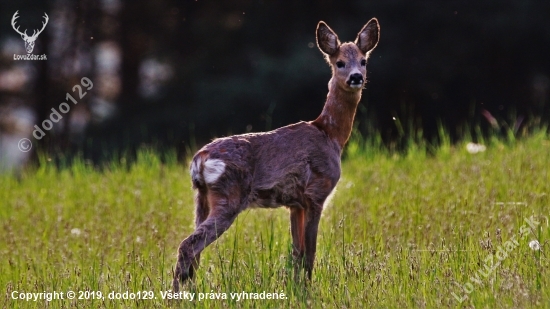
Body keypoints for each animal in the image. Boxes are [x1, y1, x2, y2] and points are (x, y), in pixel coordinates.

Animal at [175, 18, 382, 290]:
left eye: (363, 60)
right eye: (340, 62)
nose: (356, 77)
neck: (330, 134)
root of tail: (199, 161)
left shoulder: (295, 203)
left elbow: (296, 253)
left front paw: (296, 289)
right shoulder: (316, 193)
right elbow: (310, 253)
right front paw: (308, 290)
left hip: (202, 198)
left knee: (194, 252)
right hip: (229, 196)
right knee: (188, 245)